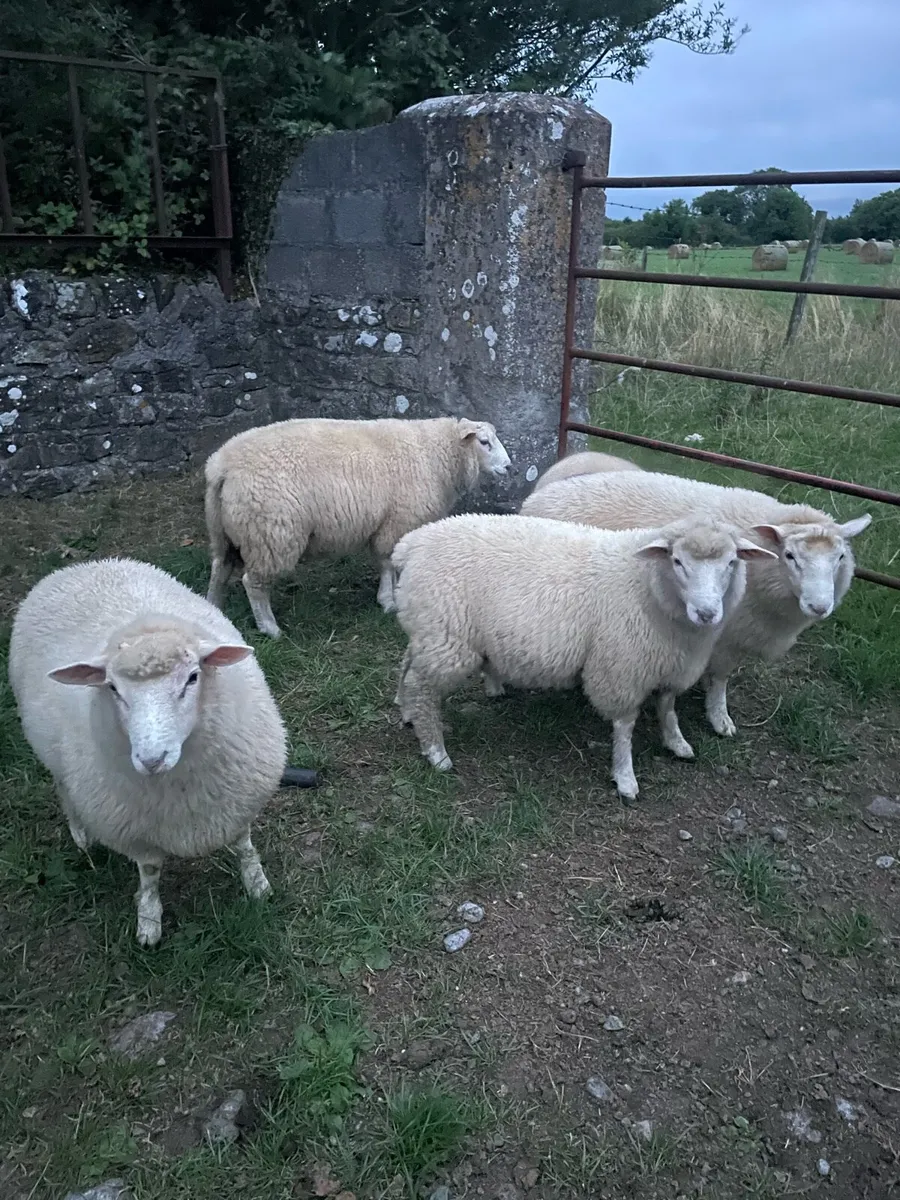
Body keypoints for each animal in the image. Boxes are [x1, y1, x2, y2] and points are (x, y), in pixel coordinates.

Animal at [8, 557, 288, 947]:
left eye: (193, 677)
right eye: (112, 688)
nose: (152, 759)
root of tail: (86, 565)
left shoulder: (236, 799)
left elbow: (243, 843)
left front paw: (258, 886)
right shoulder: (135, 831)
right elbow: (151, 872)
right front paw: (149, 921)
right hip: (51, 753)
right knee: (63, 788)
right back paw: (82, 836)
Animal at [204, 416, 512, 638]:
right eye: (484, 442)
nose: (509, 467)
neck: (437, 454)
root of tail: (222, 467)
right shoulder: (397, 521)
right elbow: (388, 563)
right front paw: (389, 600)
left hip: (224, 532)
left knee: (220, 569)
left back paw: (212, 610)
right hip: (271, 534)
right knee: (253, 583)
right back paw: (270, 629)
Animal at [391, 513, 774, 800]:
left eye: (731, 562)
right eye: (677, 561)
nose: (707, 614)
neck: (646, 584)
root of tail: (409, 545)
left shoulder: (669, 664)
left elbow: (667, 707)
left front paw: (676, 743)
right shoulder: (623, 666)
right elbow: (624, 727)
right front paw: (625, 777)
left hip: (429, 631)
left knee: (408, 665)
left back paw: (406, 709)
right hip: (447, 637)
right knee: (423, 687)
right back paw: (436, 751)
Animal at [521, 472, 871, 737]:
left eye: (840, 557)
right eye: (790, 556)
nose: (819, 606)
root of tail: (536, 497)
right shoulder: (726, 635)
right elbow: (720, 678)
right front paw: (719, 716)